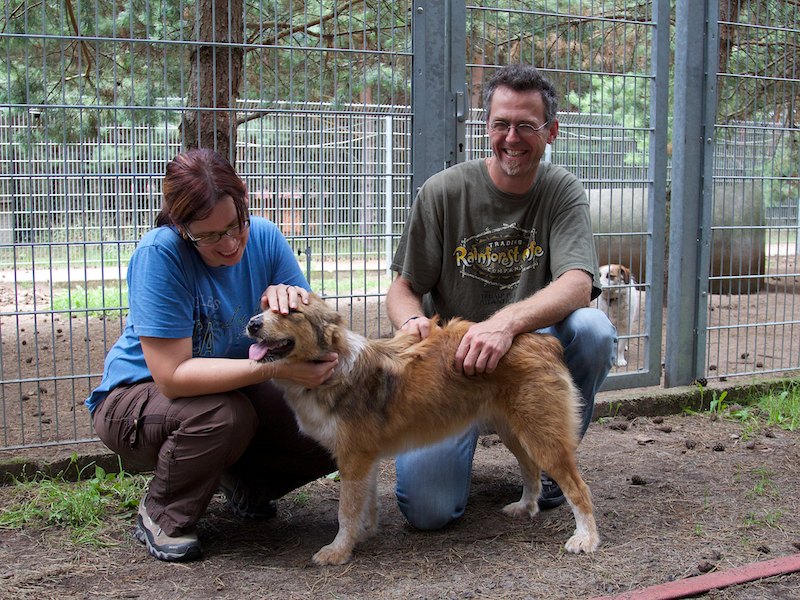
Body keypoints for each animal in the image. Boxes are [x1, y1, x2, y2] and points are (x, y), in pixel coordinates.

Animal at [246, 294, 599, 565]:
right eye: (266, 306)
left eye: (292, 312)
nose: (252, 323)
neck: (335, 367)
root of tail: (543, 341)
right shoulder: (365, 459)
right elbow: (364, 504)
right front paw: (363, 535)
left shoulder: (353, 459)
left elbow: (346, 511)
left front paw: (338, 551)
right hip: (515, 433)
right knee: (530, 471)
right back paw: (525, 507)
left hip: (542, 438)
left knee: (578, 489)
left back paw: (586, 538)